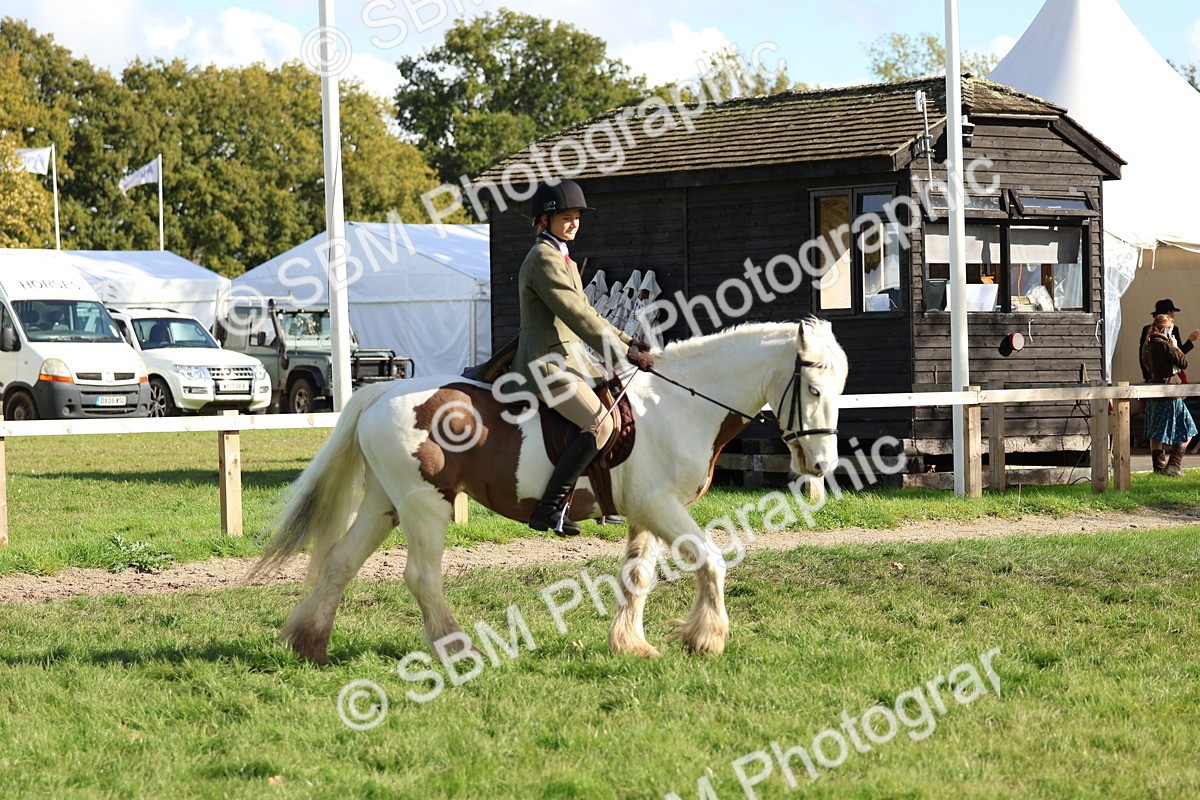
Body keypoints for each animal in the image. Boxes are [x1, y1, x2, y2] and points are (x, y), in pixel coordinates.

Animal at [252, 318, 848, 664]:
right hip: (425, 506)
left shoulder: (645, 512)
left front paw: (631, 644)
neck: (681, 404)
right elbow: (713, 561)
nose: (822, 465)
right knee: (420, 577)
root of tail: (382, 392)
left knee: (341, 562)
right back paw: (456, 649)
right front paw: (707, 638)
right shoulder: (661, 506)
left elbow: (638, 577)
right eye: (813, 387)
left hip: (385, 503)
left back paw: (310, 644)